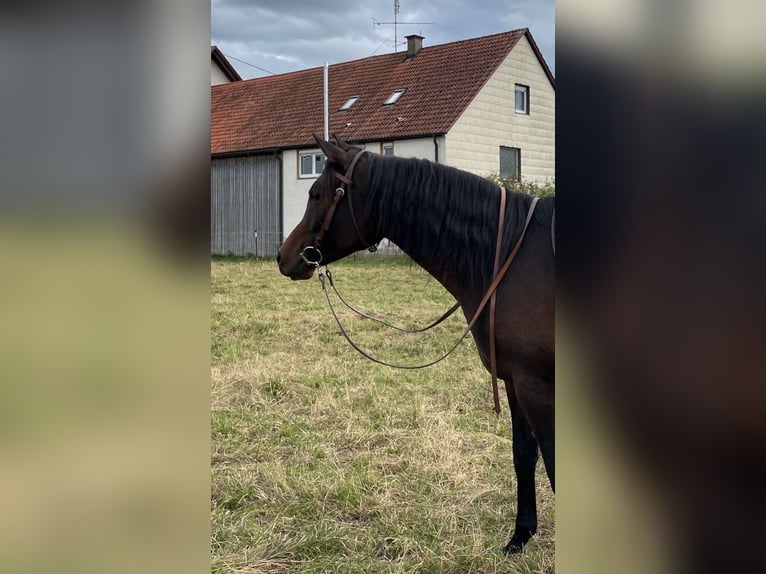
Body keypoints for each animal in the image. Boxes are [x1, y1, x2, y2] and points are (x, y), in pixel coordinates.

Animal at [280, 135, 556, 560]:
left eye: (316, 193)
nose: (283, 256)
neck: (510, 255)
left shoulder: (537, 384)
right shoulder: (516, 380)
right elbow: (524, 453)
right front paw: (520, 535)